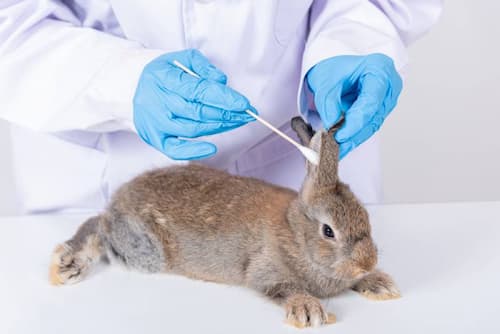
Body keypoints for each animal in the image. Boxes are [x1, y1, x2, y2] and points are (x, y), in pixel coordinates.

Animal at [49, 117, 402, 328]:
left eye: (364, 215)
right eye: (328, 231)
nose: (367, 261)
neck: (296, 233)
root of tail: (118, 201)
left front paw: (380, 284)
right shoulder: (266, 272)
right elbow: (285, 289)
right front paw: (309, 311)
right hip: (143, 251)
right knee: (98, 228)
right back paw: (68, 264)